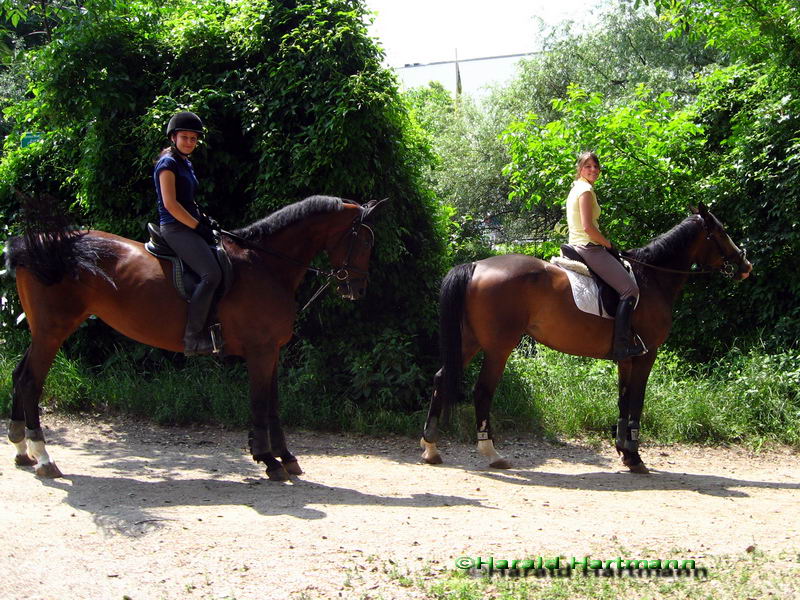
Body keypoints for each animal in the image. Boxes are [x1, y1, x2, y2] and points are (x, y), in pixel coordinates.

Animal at [3, 197, 384, 482]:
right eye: (365, 241)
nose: (359, 287)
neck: (265, 264)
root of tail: (35, 247)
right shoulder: (260, 351)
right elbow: (260, 403)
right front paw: (268, 459)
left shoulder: (271, 351)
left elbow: (274, 405)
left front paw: (286, 457)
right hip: (53, 331)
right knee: (31, 381)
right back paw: (43, 456)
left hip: (43, 331)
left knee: (19, 376)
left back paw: (22, 449)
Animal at [422, 205, 752, 474]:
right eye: (721, 232)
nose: (745, 266)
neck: (652, 279)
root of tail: (476, 265)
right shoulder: (646, 355)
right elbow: (636, 401)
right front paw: (635, 457)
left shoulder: (627, 358)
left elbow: (622, 400)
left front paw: (625, 453)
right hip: (498, 348)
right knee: (483, 391)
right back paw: (491, 453)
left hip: (470, 342)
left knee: (440, 378)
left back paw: (431, 448)